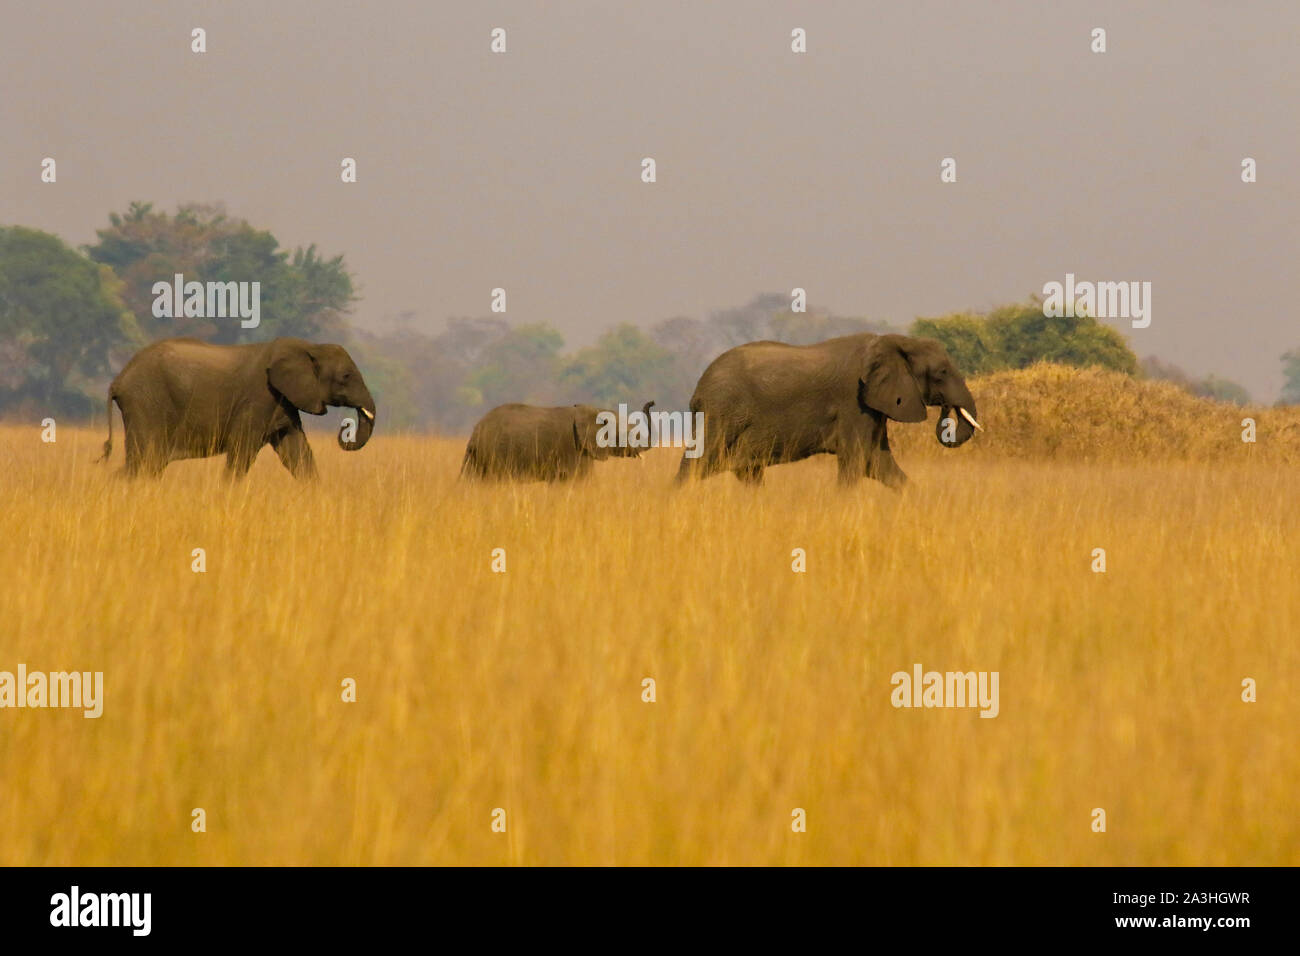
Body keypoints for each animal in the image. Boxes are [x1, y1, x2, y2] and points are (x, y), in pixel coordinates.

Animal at [99, 340, 377, 481]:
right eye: (346, 376)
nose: (345, 427)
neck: (308, 346)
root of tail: (117, 380)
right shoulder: (259, 398)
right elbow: (242, 450)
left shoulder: (284, 402)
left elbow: (297, 452)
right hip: (146, 404)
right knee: (146, 461)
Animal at [676, 335, 977, 489]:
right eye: (942, 372)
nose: (947, 411)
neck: (893, 341)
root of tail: (698, 389)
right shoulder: (854, 402)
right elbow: (857, 461)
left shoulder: (871, 407)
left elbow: (878, 463)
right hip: (722, 413)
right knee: (697, 464)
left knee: (748, 473)